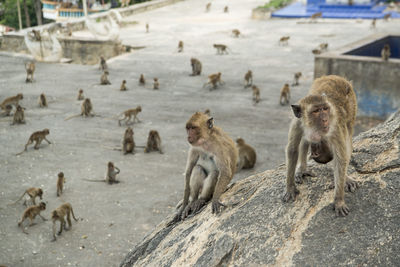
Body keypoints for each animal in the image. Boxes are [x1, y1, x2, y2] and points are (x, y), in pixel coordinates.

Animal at [282, 74, 360, 217]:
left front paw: (338, 200)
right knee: (305, 140)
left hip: (352, 105)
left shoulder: (334, 127)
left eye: (325, 109)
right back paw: (302, 169)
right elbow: (292, 150)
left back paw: (345, 178)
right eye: (316, 111)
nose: (325, 119)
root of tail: (335, 77)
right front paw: (290, 187)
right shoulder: (297, 123)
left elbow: (340, 158)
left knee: (348, 135)